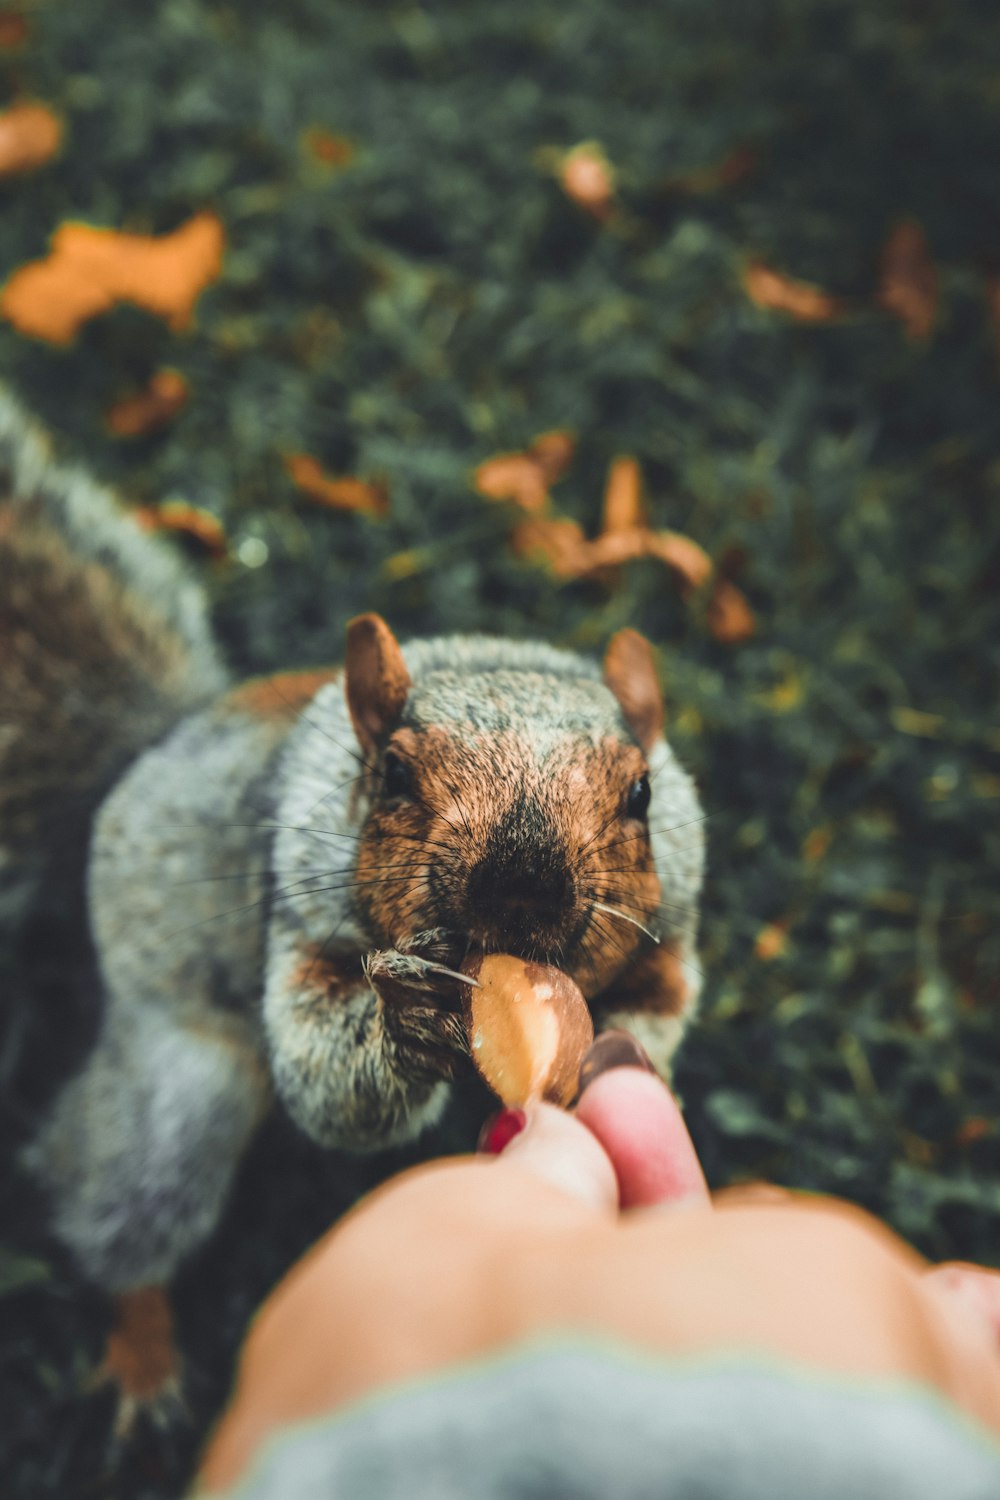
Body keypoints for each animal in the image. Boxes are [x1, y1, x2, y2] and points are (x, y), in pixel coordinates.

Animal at [0, 384, 704, 1416]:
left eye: (643, 794)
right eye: (395, 778)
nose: (522, 884)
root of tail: (143, 758)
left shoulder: (671, 933)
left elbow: (660, 1004)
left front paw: (620, 1055)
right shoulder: (297, 918)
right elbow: (323, 1076)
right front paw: (408, 1018)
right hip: (179, 1080)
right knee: (116, 1192)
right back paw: (143, 1351)